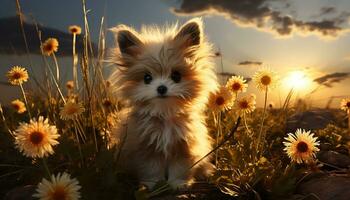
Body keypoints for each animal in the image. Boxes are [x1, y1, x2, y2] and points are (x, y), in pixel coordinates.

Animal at [109, 18, 217, 188]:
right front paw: (152, 185)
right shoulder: (146, 149)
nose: (161, 88)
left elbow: (180, 169)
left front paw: (178, 184)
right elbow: (151, 169)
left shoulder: (184, 147)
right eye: (147, 78)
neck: (165, 114)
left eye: (176, 76)